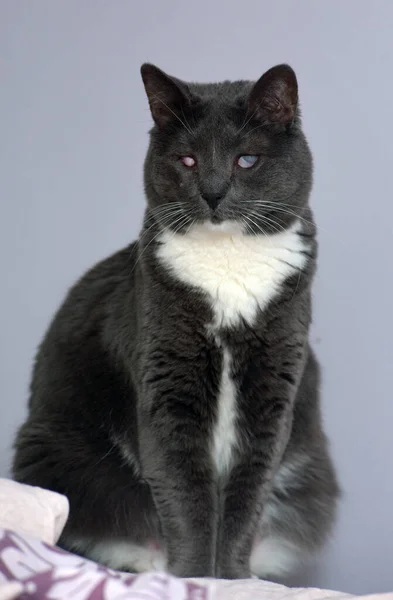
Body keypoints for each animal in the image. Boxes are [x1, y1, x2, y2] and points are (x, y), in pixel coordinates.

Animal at [12, 63, 338, 580]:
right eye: (186, 161)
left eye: (247, 160)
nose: (213, 193)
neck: (228, 265)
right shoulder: (166, 382)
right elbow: (185, 494)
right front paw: (194, 577)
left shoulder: (273, 391)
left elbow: (248, 495)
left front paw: (232, 579)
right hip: (58, 453)